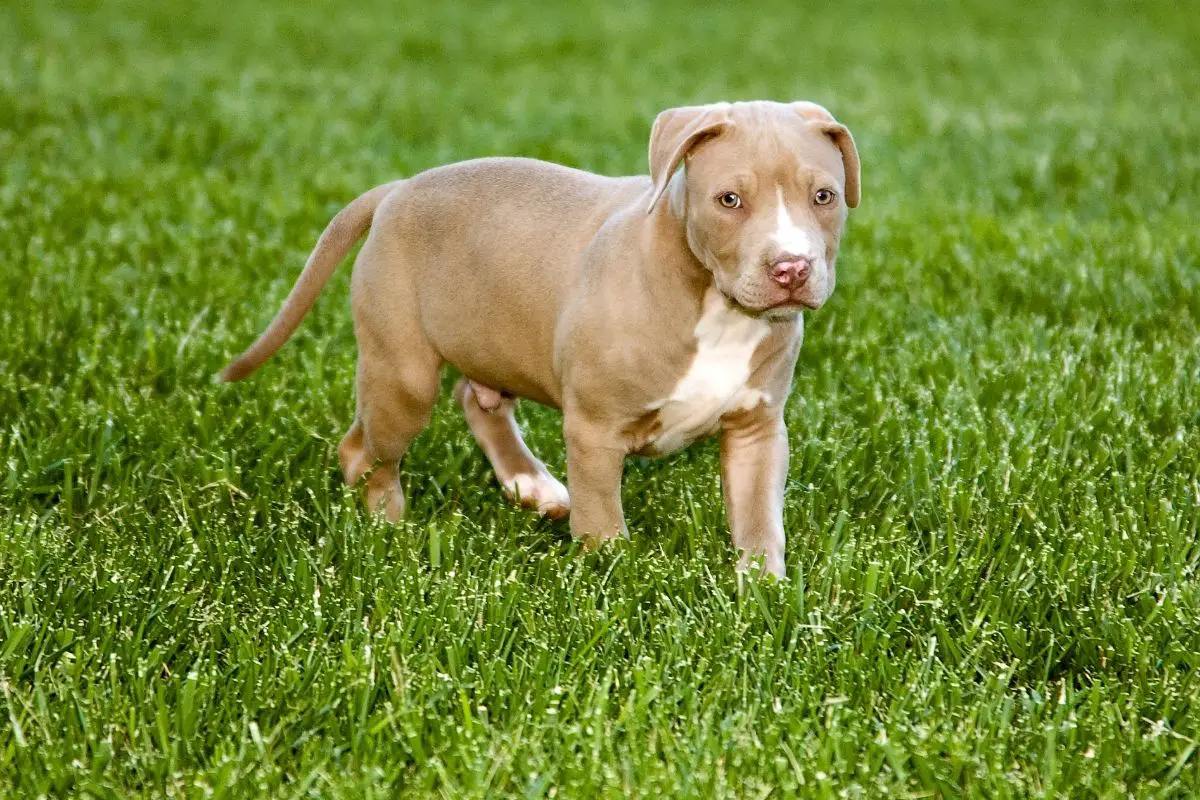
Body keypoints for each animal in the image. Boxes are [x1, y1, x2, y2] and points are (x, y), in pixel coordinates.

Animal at [223, 100, 864, 578]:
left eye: (824, 197)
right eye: (729, 200)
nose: (791, 268)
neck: (716, 305)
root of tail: (399, 189)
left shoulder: (758, 427)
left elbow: (759, 519)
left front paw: (764, 593)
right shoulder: (595, 430)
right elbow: (603, 517)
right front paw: (614, 577)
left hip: (491, 340)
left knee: (476, 399)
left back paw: (528, 482)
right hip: (401, 374)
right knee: (364, 450)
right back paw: (389, 529)